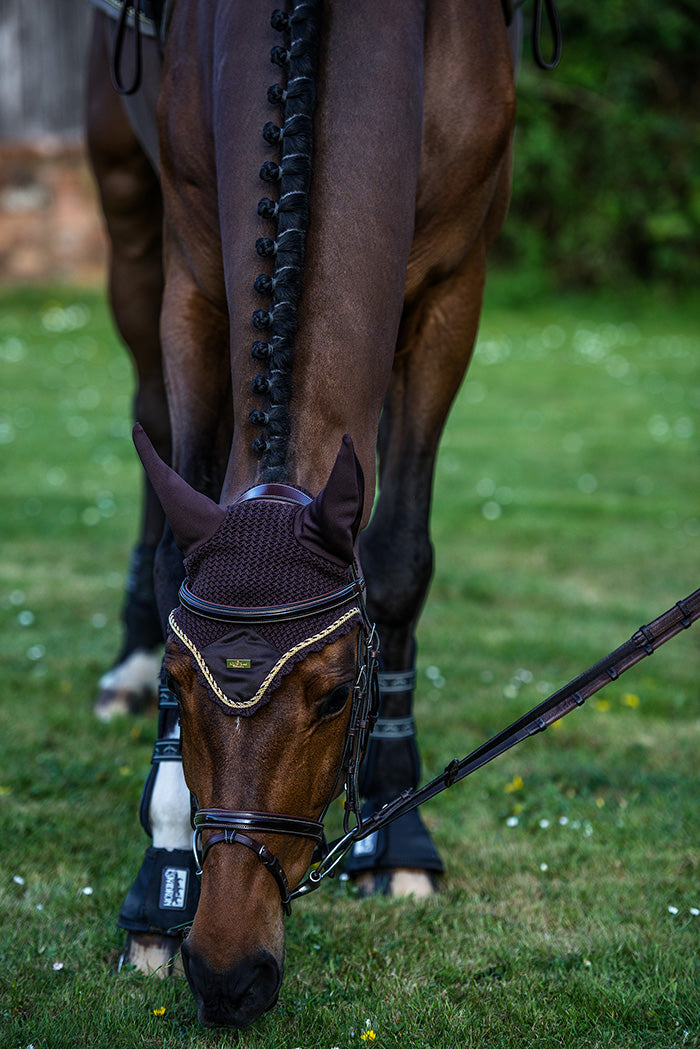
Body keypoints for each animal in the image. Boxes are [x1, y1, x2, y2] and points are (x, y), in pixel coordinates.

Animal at [85, 0, 518, 1032]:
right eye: (184, 679)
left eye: (332, 696)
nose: (227, 971)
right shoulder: (194, 273)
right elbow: (177, 559)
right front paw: (161, 874)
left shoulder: (455, 285)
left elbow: (396, 560)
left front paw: (400, 832)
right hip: (126, 200)